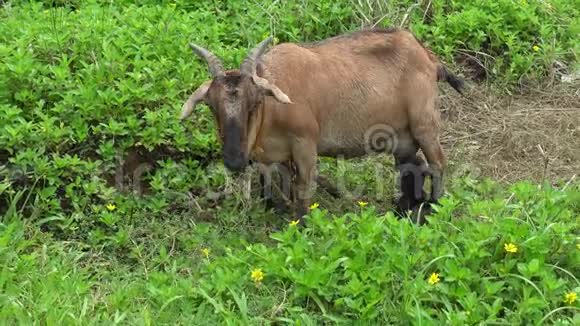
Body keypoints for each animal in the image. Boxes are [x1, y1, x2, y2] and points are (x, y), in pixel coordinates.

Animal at [181, 28, 466, 224]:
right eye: (212, 106)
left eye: (254, 103)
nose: (234, 160)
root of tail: (428, 56)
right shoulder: (276, 155)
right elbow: (279, 183)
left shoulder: (305, 145)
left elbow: (303, 187)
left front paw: (302, 226)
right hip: (403, 136)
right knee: (411, 166)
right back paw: (403, 211)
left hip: (424, 123)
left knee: (438, 163)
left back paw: (434, 208)